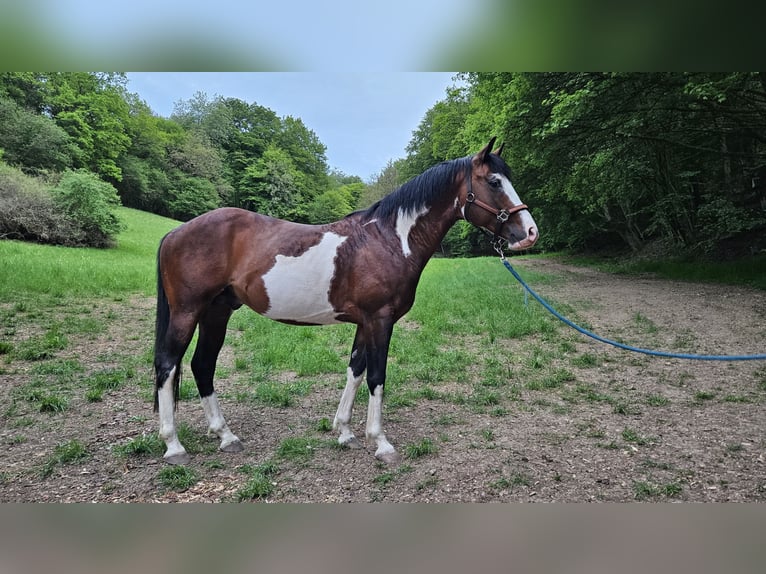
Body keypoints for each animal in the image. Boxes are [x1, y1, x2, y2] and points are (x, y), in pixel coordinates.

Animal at [153, 137, 538, 465]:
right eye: (494, 182)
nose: (530, 233)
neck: (389, 241)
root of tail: (175, 232)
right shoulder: (380, 320)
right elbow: (376, 376)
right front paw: (381, 442)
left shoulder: (365, 323)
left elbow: (355, 370)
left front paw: (345, 432)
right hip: (188, 312)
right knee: (168, 366)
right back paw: (174, 446)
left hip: (216, 313)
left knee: (202, 365)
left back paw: (226, 436)